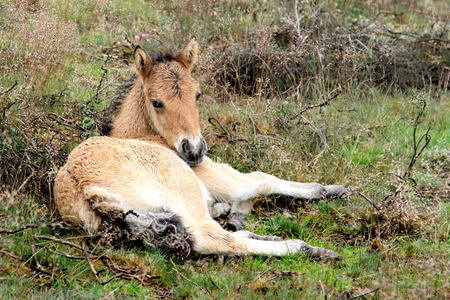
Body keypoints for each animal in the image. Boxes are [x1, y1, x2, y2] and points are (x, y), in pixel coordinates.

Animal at [53, 39, 348, 258]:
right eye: (156, 102)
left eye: (197, 95)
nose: (194, 150)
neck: (142, 136)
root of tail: (85, 186)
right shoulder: (219, 176)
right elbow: (262, 180)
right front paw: (335, 189)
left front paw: (234, 212)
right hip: (185, 191)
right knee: (213, 238)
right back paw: (305, 248)